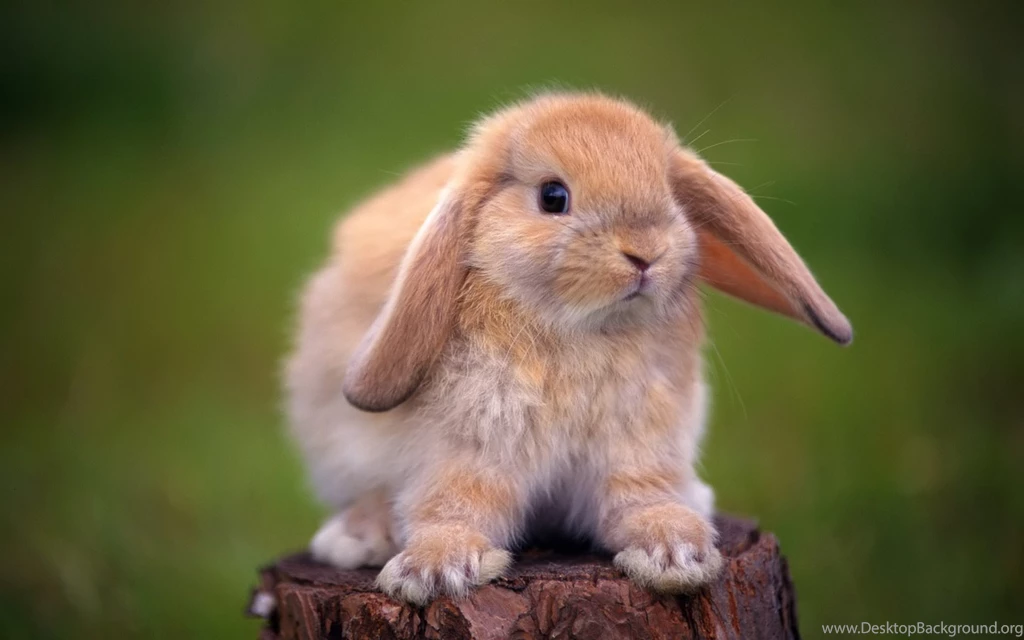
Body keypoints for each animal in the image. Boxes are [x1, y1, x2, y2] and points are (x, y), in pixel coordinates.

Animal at [284, 92, 852, 605]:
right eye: (553, 196)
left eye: (669, 192)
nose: (646, 253)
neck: (583, 329)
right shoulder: (469, 448)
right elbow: (454, 506)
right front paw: (430, 572)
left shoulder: (639, 444)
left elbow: (640, 499)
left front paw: (676, 554)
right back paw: (357, 538)